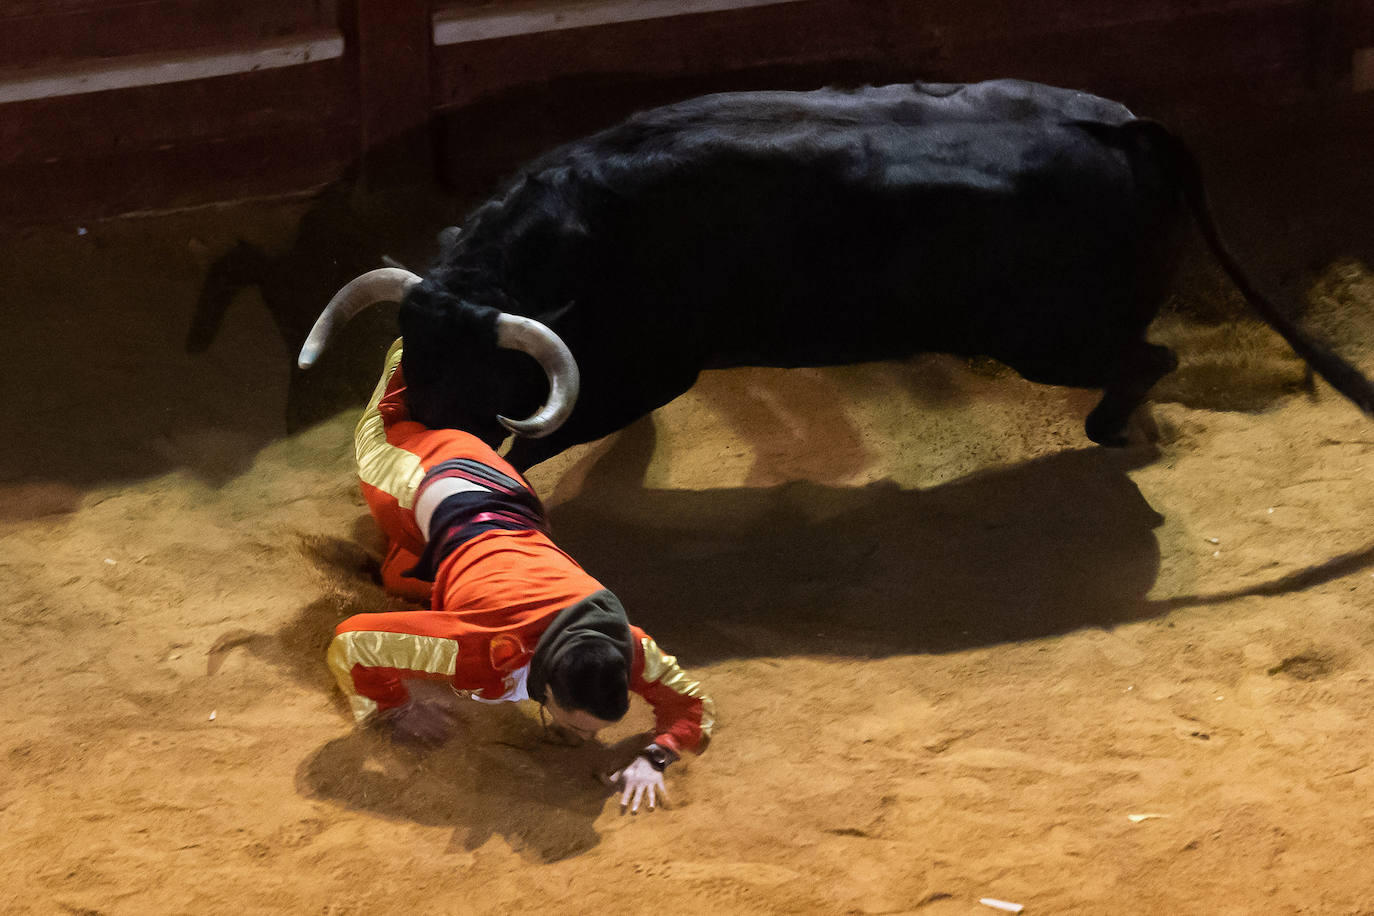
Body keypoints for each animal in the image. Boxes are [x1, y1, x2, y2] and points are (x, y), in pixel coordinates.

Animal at [300, 76, 1374, 472]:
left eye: (486, 372)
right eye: (410, 353)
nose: (414, 440)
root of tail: (1125, 123)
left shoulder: (649, 370)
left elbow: (532, 444)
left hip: (1051, 338)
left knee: (1150, 358)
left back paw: (1115, 432)